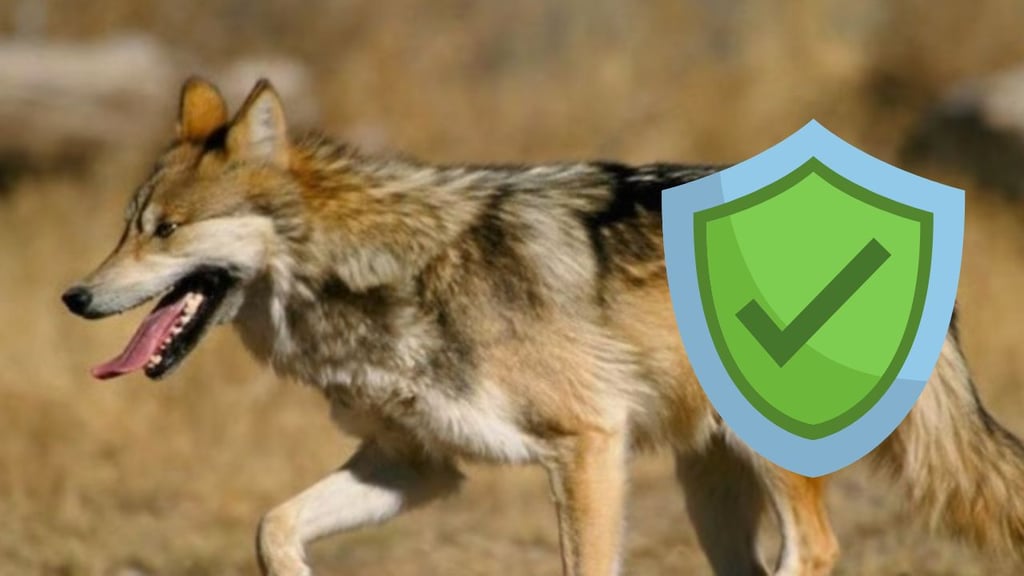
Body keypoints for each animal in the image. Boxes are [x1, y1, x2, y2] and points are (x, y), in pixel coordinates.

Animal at [62, 77, 1024, 576]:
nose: (74, 297)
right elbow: (273, 525)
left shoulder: (586, 445)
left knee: (817, 551)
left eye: (166, 231)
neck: (383, 272)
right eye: (126, 226)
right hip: (707, 483)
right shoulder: (417, 465)